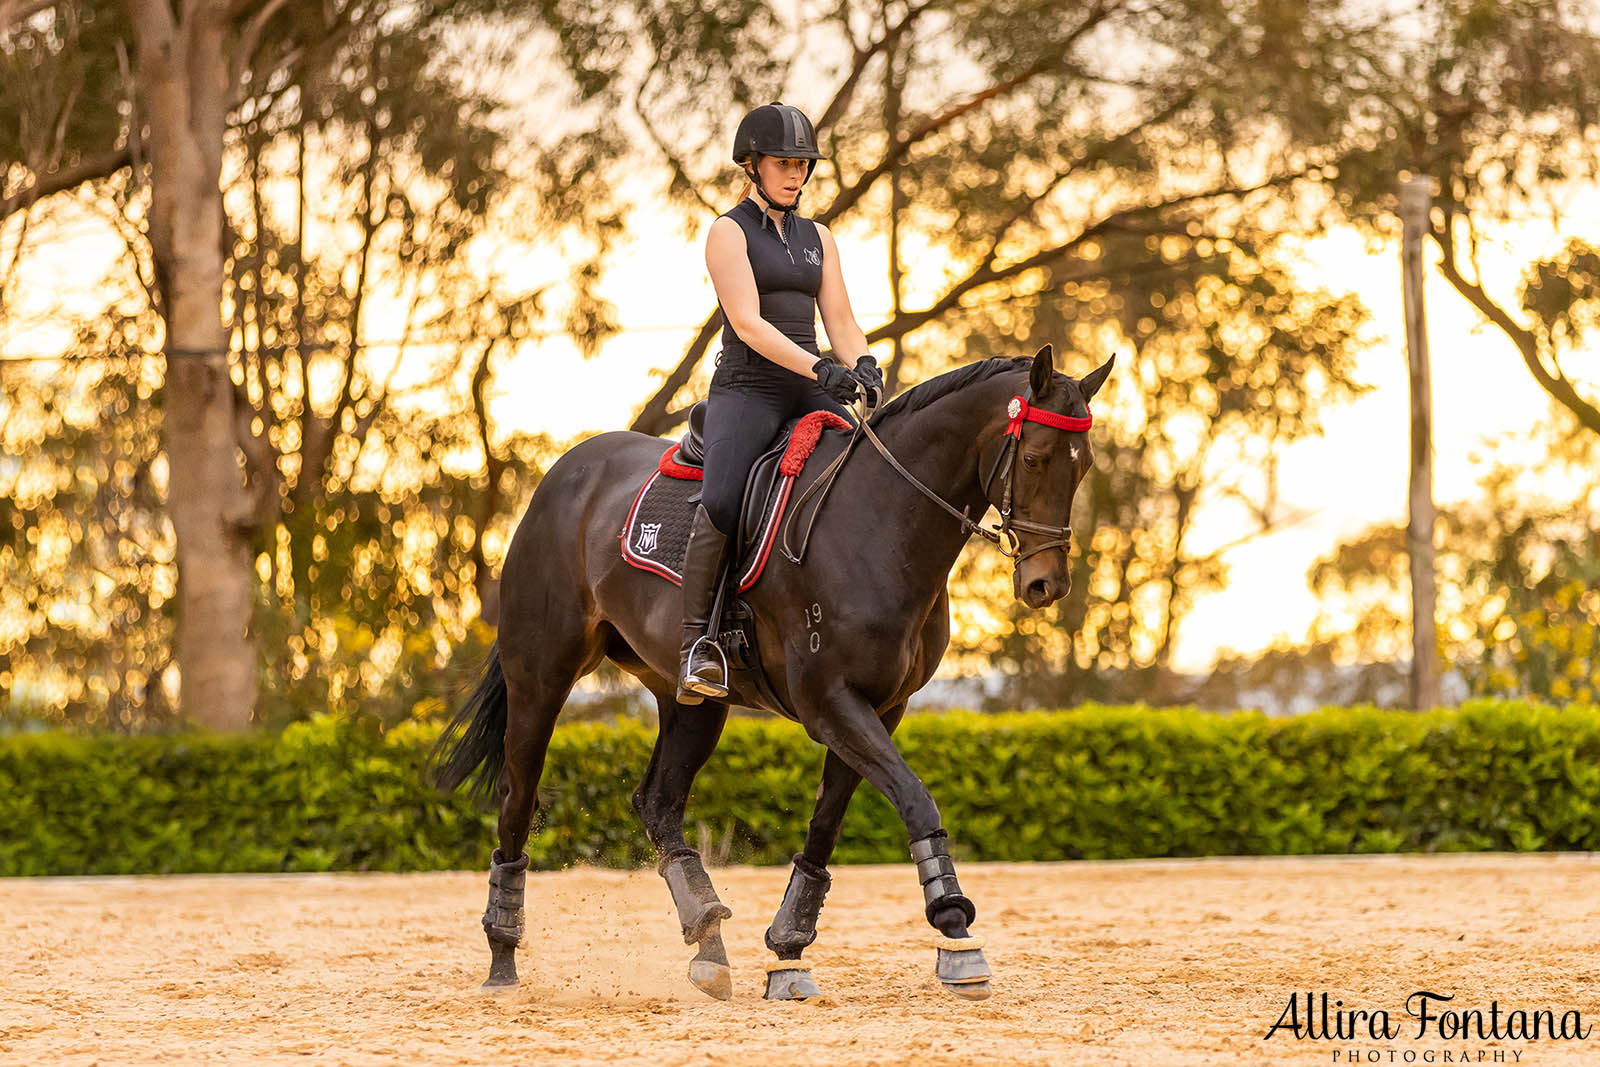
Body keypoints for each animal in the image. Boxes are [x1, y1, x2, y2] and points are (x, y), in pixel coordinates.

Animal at [432, 342, 1120, 1004]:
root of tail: (564, 474)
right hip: (541, 680)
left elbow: (825, 825)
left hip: (691, 702)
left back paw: (708, 941)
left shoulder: (879, 707)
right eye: (1036, 459)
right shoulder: (830, 703)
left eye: (1083, 465)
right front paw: (956, 933)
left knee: (658, 803)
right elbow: (915, 800)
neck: (881, 521)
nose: (1045, 585)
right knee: (518, 798)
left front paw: (788, 951)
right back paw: (502, 956)